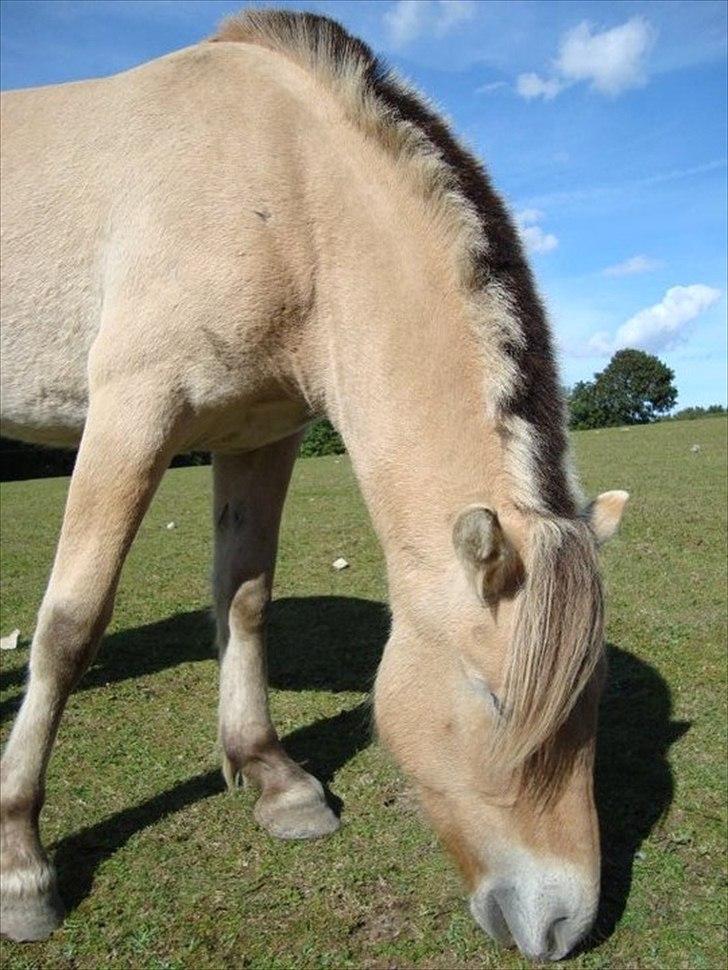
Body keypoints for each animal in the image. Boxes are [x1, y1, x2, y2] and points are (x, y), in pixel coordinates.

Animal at [0, 11, 624, 964]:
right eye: (494, 697)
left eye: (594, 696)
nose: (562, 924)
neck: (285, 186)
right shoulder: (130, 413)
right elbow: (69, 627)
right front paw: (21, 862)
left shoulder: (260, 433)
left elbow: (245, 598)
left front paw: (273, 779)